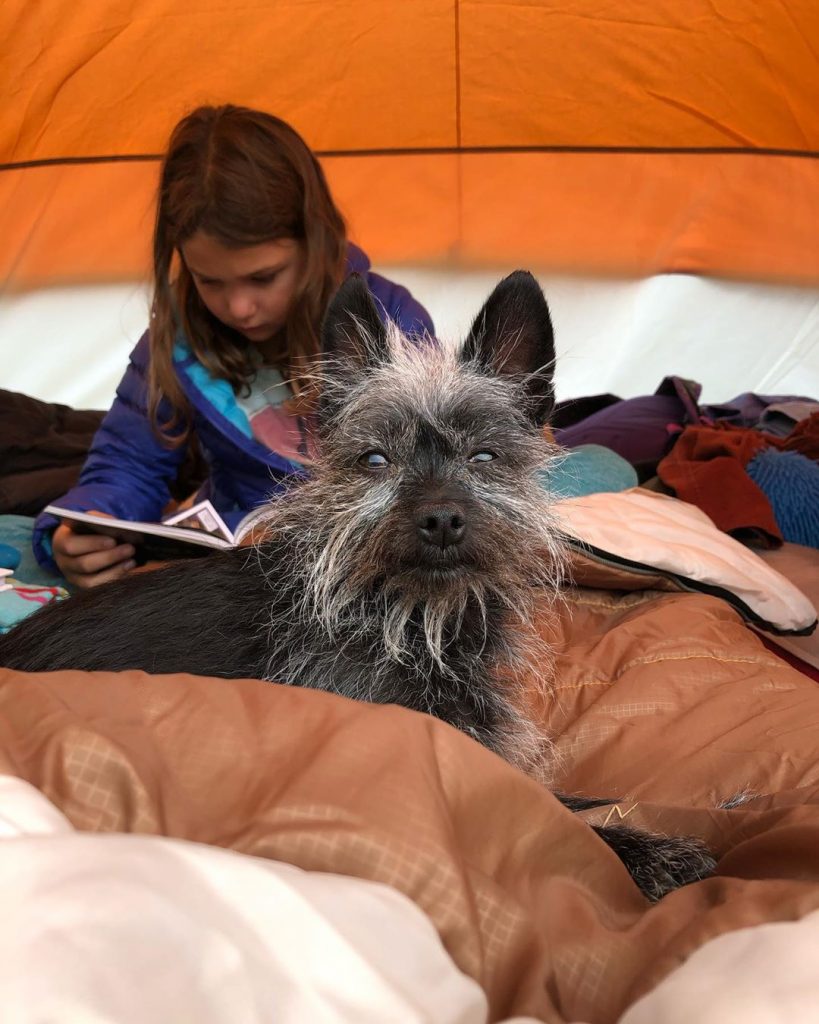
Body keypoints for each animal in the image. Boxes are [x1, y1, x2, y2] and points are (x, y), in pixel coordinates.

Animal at [1, 270, 716, 897]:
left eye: (485, 456)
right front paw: (651, 851)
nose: (441, 517)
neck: (415, 620)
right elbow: (563, 825)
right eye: (375, 460)